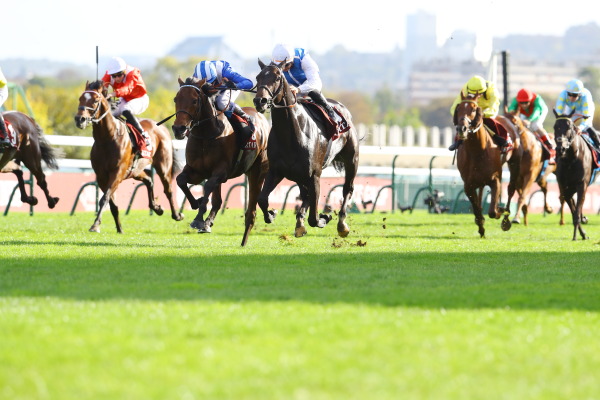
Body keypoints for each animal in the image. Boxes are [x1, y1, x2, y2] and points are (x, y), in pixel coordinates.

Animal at [72, 80, 182, 233]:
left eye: (95, 100)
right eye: (80, 99)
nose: (79, 119)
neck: (107, 139)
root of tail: (161, 127)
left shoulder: (117, 173)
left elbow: (105, 198)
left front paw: (95, 225)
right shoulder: (101, 176)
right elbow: (111, 203)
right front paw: (119, 228)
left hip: (163, 166)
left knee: (168, 189)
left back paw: (176, 215)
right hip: (134, 171)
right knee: (149, 180)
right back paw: (156, 208)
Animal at [171, 76, 270, 245]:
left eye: (194, 101)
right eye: (176, 99)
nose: (179, 129)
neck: (206, 135)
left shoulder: (221, 171)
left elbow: (208, 186)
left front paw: (199, 219)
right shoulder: (196, 170)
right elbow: (181, 180)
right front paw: (196, 203)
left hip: (258, 169)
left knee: (254, 200)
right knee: (218, 200)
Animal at [253, 59, 360, 238]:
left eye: (277, 77)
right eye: (258, 77)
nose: (260, 101)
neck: (291, 134)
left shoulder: (314, 175)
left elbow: (314, 218)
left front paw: (325, 217)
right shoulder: (276, 171)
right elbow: (261, 199)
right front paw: (272, 214)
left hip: (352, 159)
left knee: (347, 189)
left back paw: (342, 224)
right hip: (298, 175)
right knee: (305, 194)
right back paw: (299, 222)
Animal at [454, 94, 510, 238]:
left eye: (474, 109)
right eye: (458, 108)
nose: (461, 129)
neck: (478, 151)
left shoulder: (495, 180)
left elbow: (492, 211)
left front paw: (500, 211)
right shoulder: (468, 186)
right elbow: (477, 210)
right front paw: (481, 228)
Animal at [552, 109, 596, 239]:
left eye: (569, 127)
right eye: (555, 127)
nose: (560, 149)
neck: (571, 159)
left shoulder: (582, 184)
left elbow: (576, 210)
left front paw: (577, 235)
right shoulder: (564, 186)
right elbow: (573, 210)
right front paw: (581, 232)